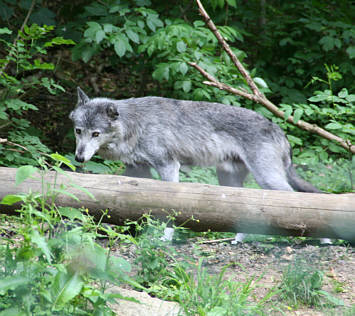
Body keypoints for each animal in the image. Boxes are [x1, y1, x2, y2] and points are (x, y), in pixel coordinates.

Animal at [71, 87, 322, 195]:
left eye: (96, 134)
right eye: (78, 131)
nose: (79, 158)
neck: (136, 126)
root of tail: (279, 130)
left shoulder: (169, 166)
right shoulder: (136, 170)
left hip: (267, 179)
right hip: (229, 179)